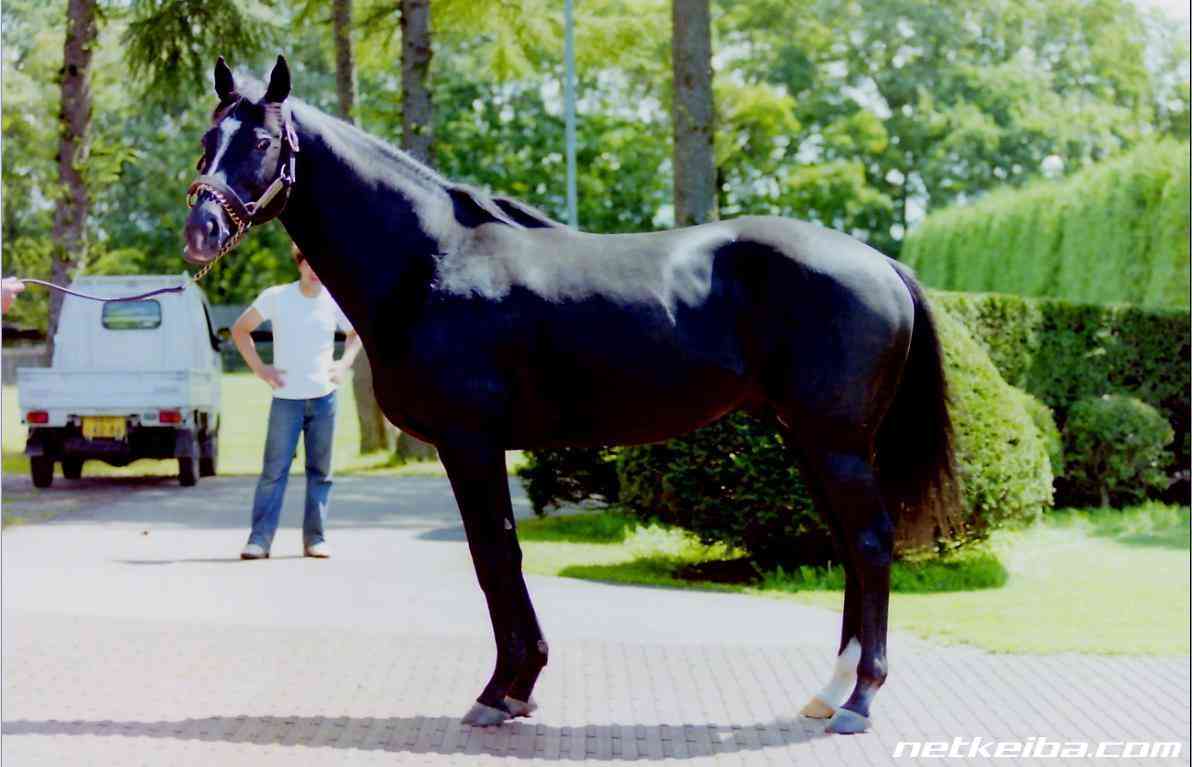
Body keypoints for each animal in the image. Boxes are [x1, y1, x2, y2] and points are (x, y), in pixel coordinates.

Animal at [183, 55, 958, 735]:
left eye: (261, 141)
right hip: (810, 440)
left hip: (835, 443)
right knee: (850, 548)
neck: (431, 261)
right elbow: (498, 555)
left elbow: (494, 557)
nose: (200, 233)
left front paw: (504, 689)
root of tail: (880, 262)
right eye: (205, 140)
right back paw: (829, 691)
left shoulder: (470, 444)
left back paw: (859, 699)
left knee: (871, 543)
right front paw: (517, 686)